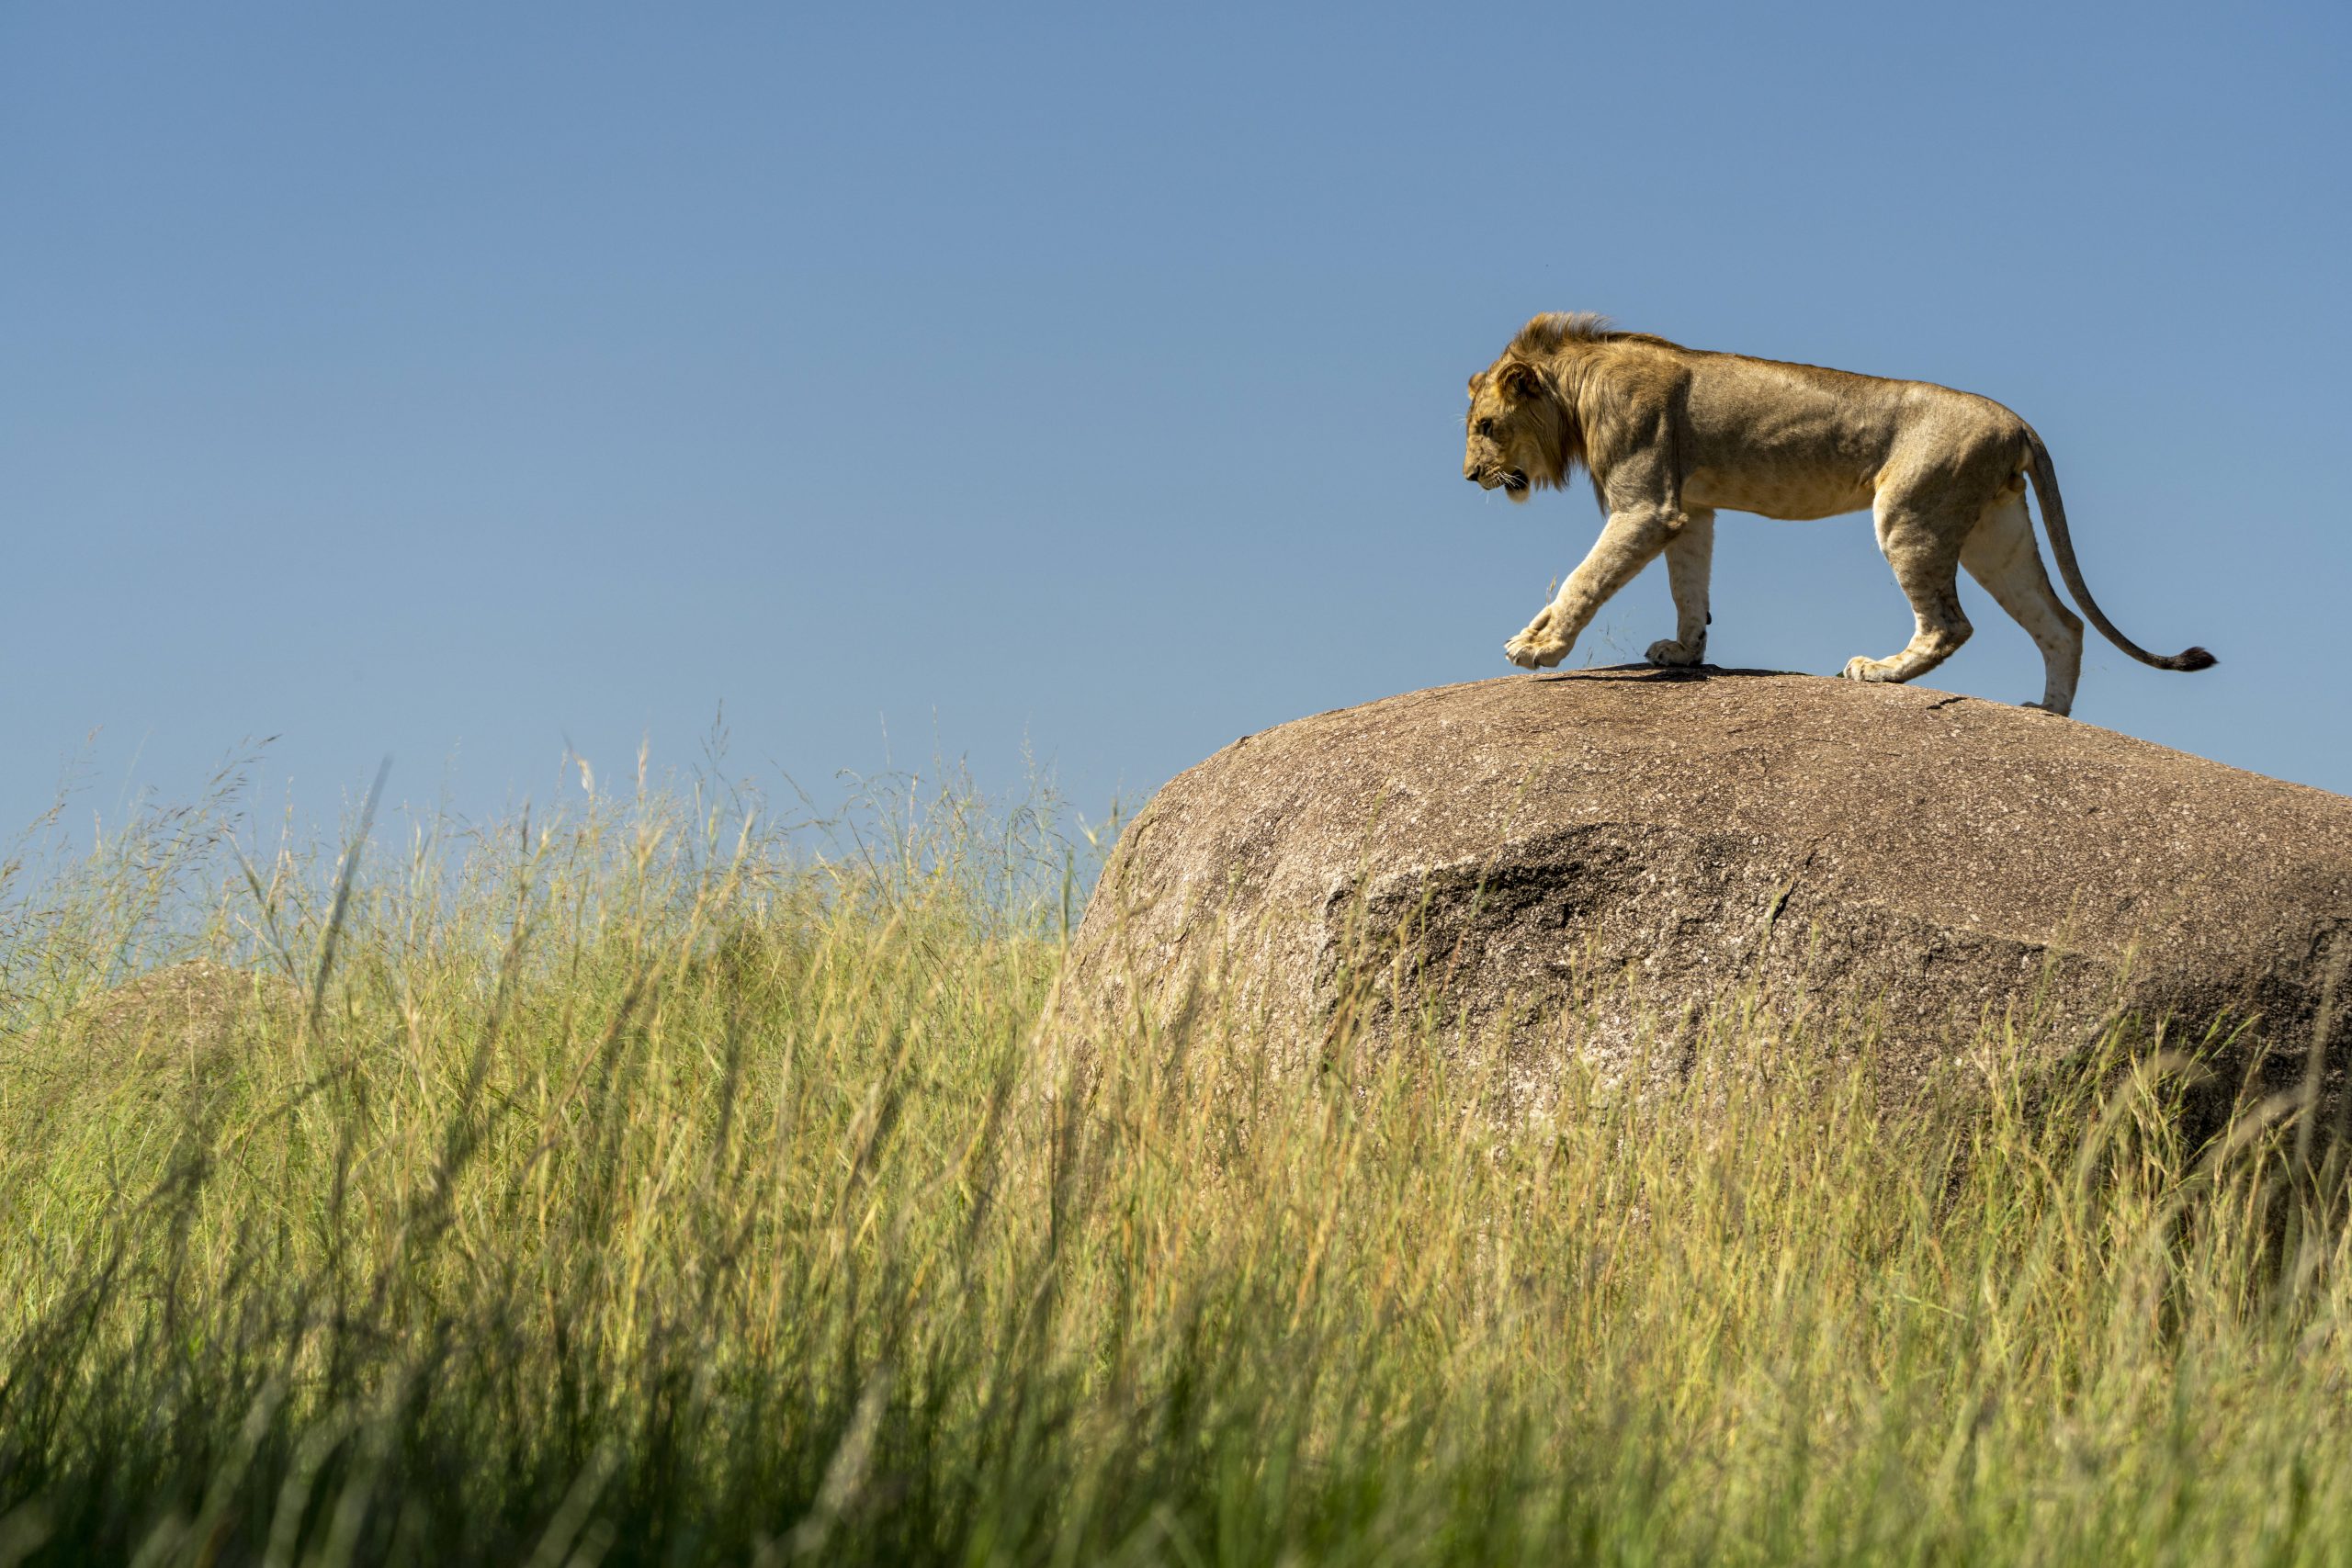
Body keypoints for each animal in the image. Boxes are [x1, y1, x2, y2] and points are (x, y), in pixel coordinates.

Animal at [1458, 314, 2211, 719]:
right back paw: (2048, 714)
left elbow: (1584, 578)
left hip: (1910, 512)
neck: (1577, 389)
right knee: (2063, 624)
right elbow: (1689, 588)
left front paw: (1539, 648)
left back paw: (1878, 671)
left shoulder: (1646, 506)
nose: (1469, 477)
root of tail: (2017, 421)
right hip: (1994, 535)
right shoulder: (1689, 508)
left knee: (1952, 624)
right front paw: (1684, 652)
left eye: (1487, 427)